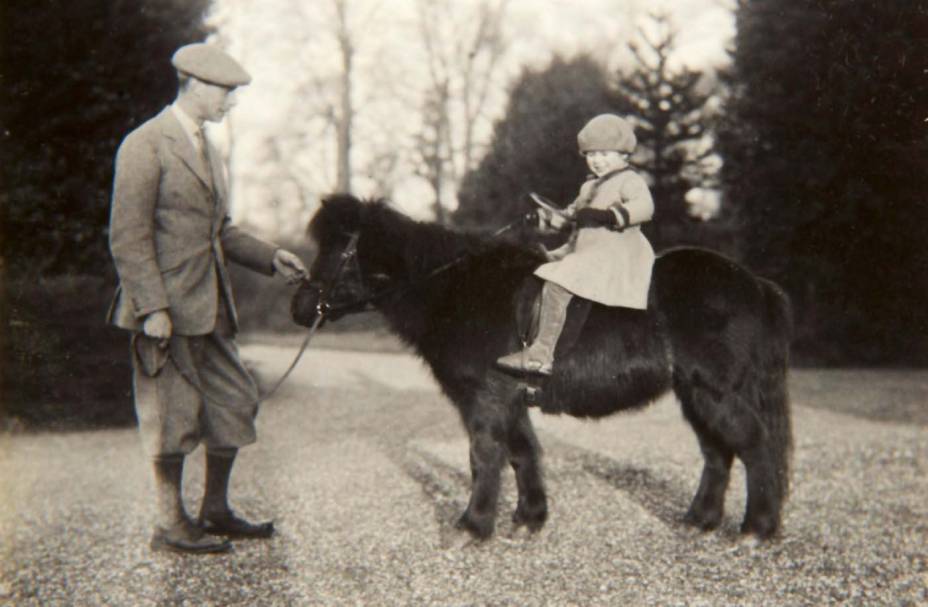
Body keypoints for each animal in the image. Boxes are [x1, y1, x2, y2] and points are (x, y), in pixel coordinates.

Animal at [294, 195, 792, 540]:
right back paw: (699, 520)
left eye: (337, 251)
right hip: (695, 393)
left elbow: (485, 455)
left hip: (715, 391)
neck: (457, 286)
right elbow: (522, 452)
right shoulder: (509, 398)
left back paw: (757, 527)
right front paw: (528, 519)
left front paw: (473, 526)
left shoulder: (485, 398)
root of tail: (753, 282)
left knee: (753, 445)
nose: (299, 307)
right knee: (718, 453)